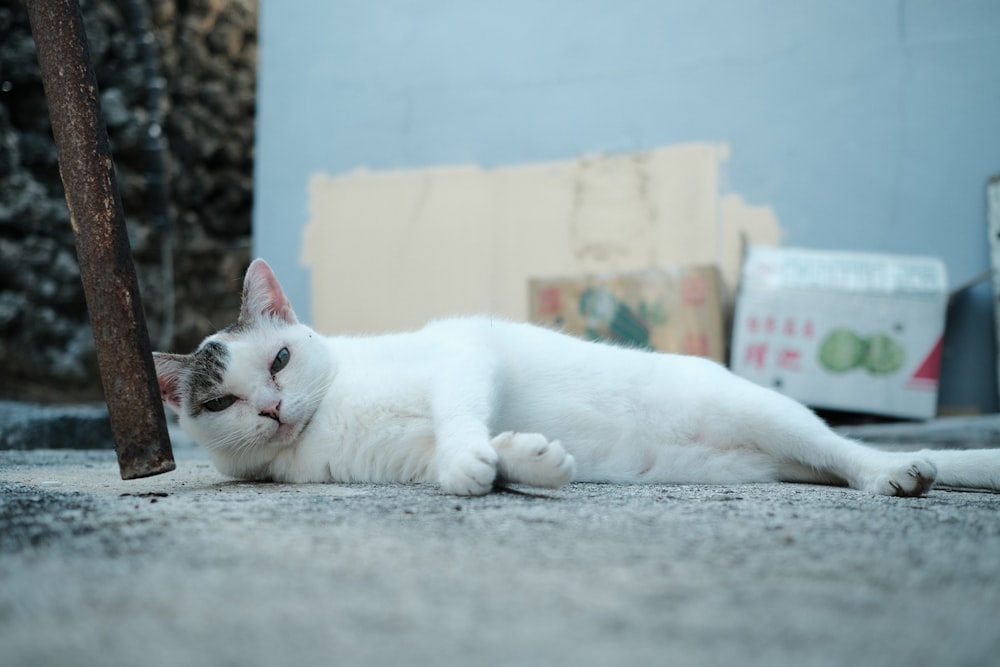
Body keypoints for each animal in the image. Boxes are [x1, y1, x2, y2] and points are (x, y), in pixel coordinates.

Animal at [152, 260, 996, 496]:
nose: (271, 408)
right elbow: (484, 446)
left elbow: (459, 417)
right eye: (222, 401)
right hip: (779, 457)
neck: (327, 417)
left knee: (852, 454)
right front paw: (527, 460)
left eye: (280, 361)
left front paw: (474, 462)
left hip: (774, 415)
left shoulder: (462, 361)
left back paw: (895, 473)